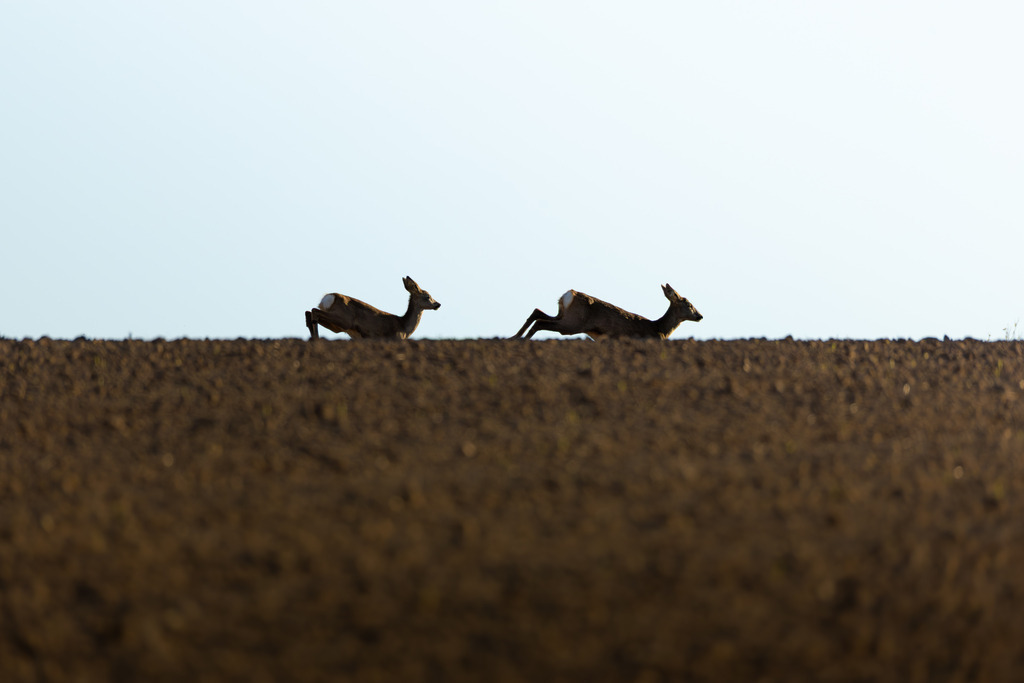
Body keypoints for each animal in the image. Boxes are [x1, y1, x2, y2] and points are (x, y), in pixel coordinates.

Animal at [305, 276, 440, 340]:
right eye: (428, 296)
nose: (438, 304)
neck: (404, 328)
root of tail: (328, 297)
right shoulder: (394, 338)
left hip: (338, 326)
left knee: (309, 312)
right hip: (344, 320)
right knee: (314, 311)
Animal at [510, 284, 702, 340]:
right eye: (688, 303)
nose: (700, 316)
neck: (660, 330)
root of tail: (569, 294)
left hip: (563, 315)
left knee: (536, 312)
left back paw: (514, 337)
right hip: (572, 323)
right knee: (540, 322)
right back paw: (521, 340)